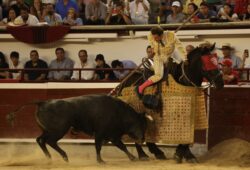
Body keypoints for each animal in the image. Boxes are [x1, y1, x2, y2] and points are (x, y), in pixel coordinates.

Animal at [7, 94, 152, 163]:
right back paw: (64, 157)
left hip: (47, 130)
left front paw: (132, 158)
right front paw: (100, 161)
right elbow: (100, 146)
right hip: (59, 130)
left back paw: (50, 158)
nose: (142, 139)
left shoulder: (112, 135)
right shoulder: (102, 133)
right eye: (141, 125)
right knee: (50, 141)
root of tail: (43, 102)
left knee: (40, 140)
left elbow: (121, 146)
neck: (119, 112)